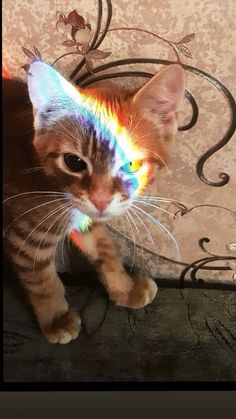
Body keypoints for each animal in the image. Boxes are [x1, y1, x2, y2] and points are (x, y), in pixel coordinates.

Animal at [2, 61, 185, 344]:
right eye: (74, 162)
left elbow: (104, 249)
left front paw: (125, 287)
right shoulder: (26, 234)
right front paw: (56, 318)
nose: (100, 198)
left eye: (132, 164)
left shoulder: (88, 217)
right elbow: (40, 279)